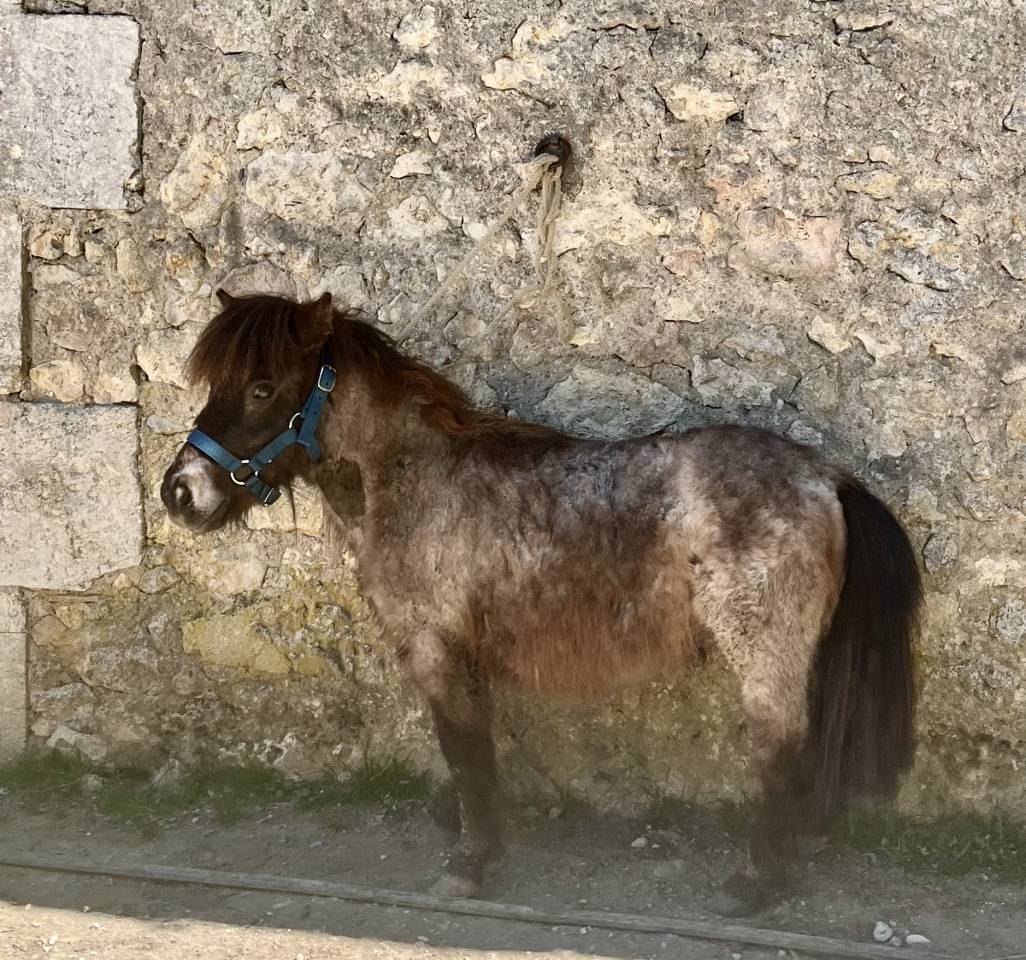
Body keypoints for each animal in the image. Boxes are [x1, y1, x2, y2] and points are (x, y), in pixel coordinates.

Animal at [161, 290, 921, 916]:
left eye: (262, 386)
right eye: (217, 383)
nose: (179, 492)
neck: (413, 479)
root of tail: (825, 477)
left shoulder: (436, 648)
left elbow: (463, 747)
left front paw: (471, 863)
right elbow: (474, 747)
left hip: (764, 651)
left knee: (780, 746)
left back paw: (757, 880)